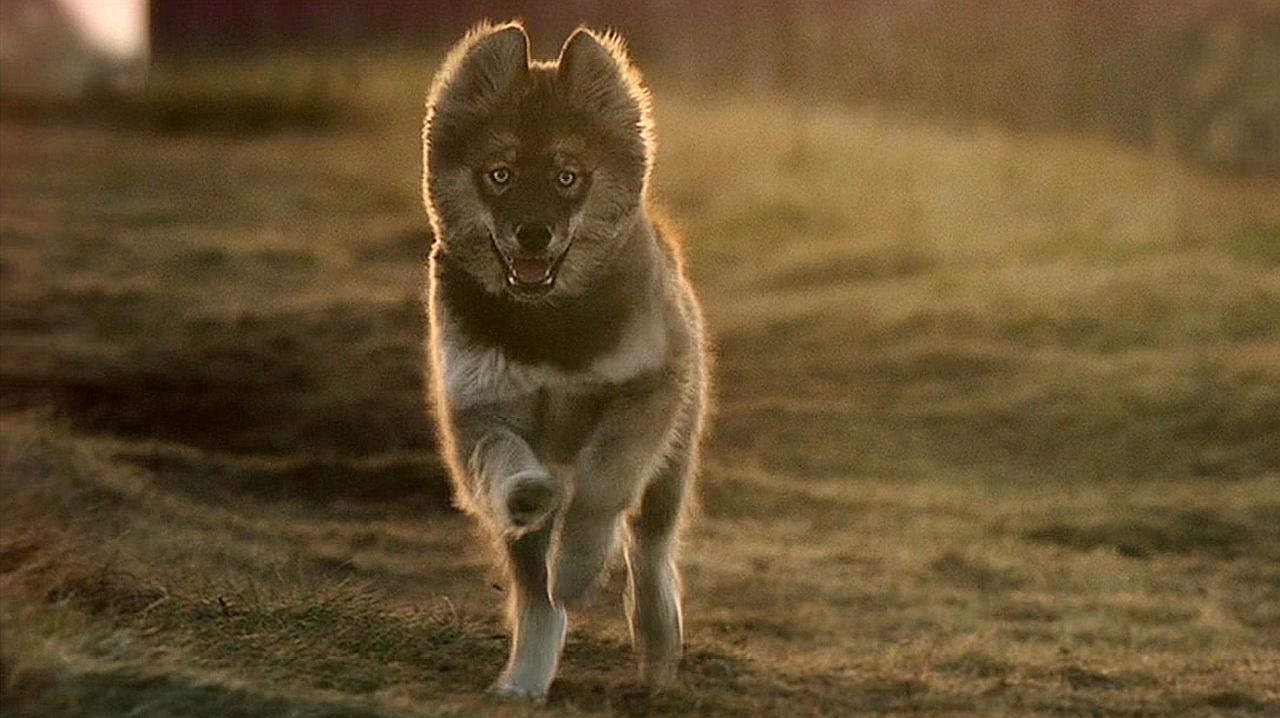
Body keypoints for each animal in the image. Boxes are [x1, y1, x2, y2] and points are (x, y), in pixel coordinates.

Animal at [424, 20, 711, 701]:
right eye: (499, 174)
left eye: (567, 177)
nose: (533, 235)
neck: (547, 324)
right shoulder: (477, 408)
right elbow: (503, 462)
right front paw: (529, 491)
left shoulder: (648, 388)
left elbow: (603, 483)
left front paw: (579, 566)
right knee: (535, 596)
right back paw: (525, 677)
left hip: (672, 462)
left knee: (650, 552)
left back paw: (656, 642)